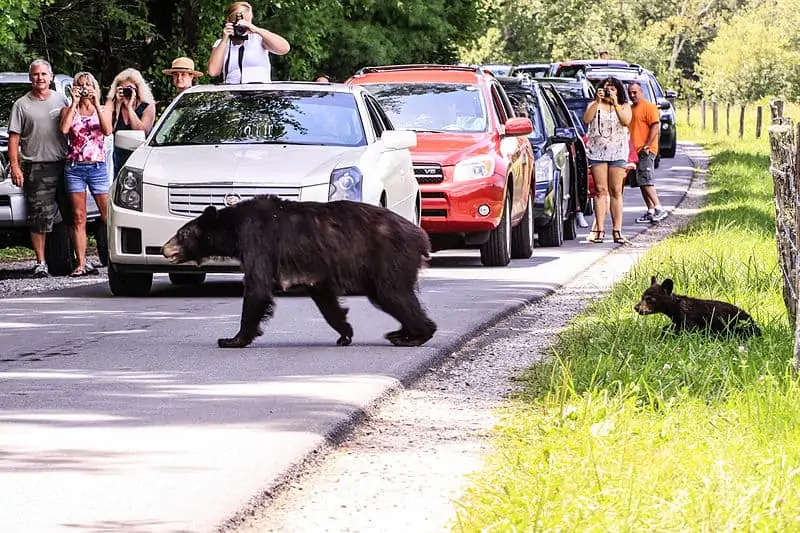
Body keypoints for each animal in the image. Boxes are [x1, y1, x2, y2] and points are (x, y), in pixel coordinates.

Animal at [162, 195, 438, 350]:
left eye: (181, 234)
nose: (165, 249)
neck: (234, 227)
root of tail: (421, 237)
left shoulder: (257, 240)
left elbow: (257, 287)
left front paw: (232, 340)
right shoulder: (315, 270)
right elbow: (325, 299)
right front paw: (345, 332)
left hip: (389, 258)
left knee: (393, 295)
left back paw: (414, 335)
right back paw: (401, 332)